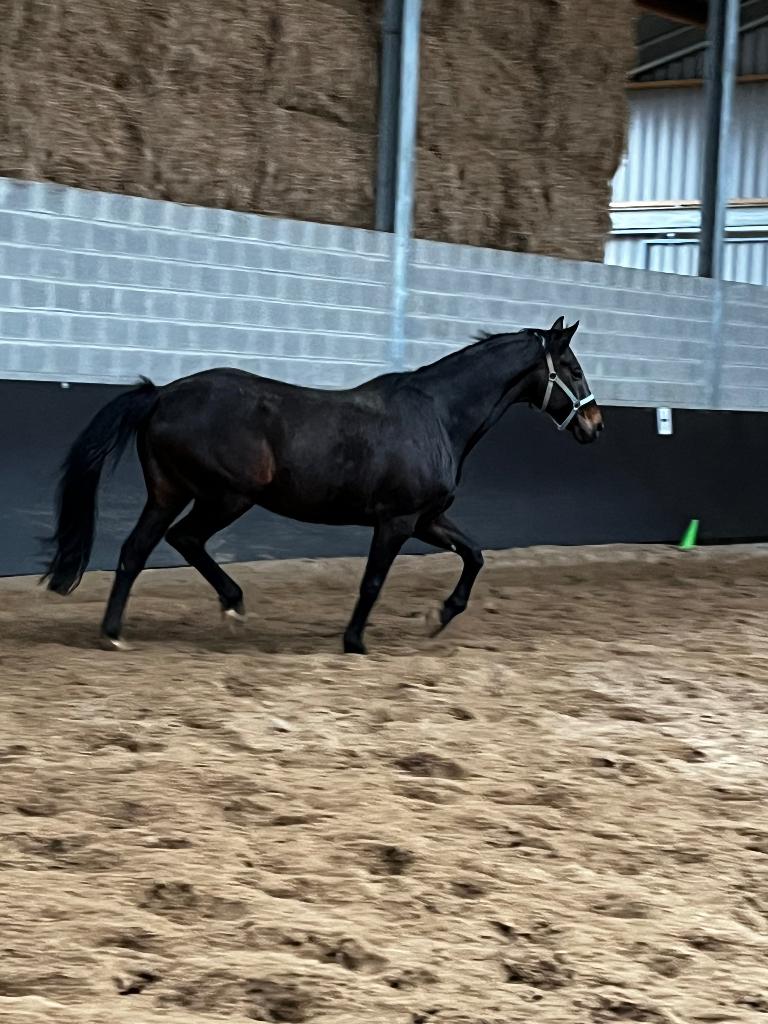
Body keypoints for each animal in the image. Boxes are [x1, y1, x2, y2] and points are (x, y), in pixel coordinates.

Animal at [43, 316, 603, 654]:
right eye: (573, 369)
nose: (595, 425)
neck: (438, 415)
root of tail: (161, 394)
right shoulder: (397, 520)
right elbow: (373, 581)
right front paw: (355, 641)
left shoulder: (427, 518)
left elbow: (475, 555)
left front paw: (438, 616)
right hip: (226, 496)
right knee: (184, 539)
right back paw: (231, 606)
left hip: (168, 493)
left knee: (135, 550)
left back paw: (115, 633)